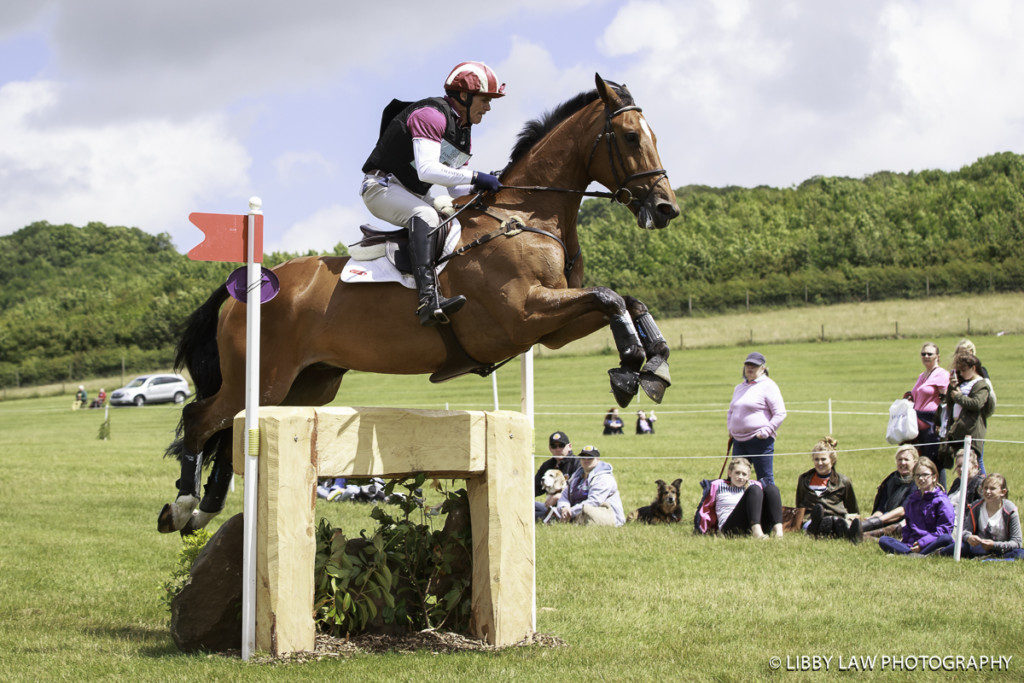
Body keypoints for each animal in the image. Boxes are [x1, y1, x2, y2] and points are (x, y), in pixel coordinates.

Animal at [159, 74, 679, 532]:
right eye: (631, 137)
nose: (667, 208)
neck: (526, 217)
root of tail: (244, 288)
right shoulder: (524, 314)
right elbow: (609, 298)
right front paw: (630, 368)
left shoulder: (552, 328)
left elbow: (624, 299)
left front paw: (652, 365)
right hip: (263, 378)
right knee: (201, 419)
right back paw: (183, 507)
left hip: (305, 386)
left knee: (231, 432)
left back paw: (203, 508)